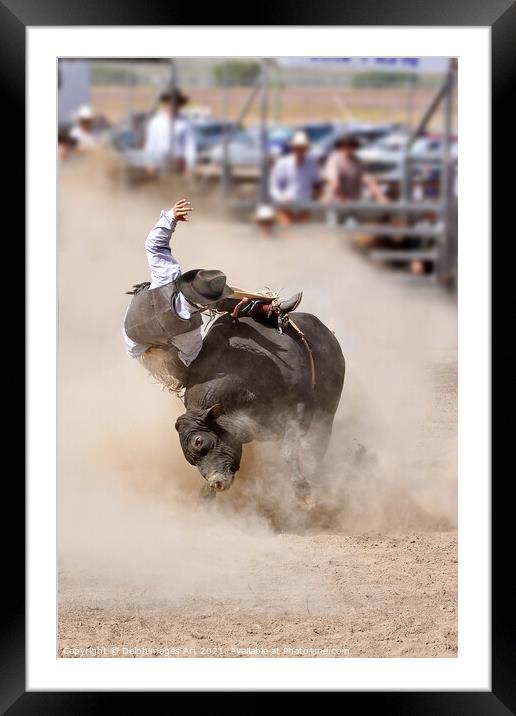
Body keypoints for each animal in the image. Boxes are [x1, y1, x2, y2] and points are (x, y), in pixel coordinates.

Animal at [174, 310, 346, 500]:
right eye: (191, 459)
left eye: (199, 441)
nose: (216, 483)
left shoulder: (299, 409)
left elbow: (290, 449)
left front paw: (302, 489)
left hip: (327, 412)